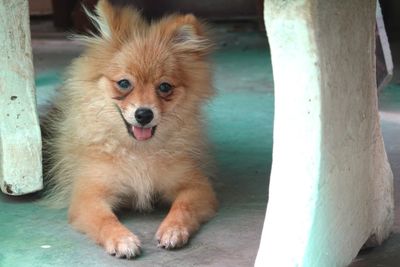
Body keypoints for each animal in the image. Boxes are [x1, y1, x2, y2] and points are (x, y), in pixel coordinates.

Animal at [42, 0, 217, 260]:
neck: (138, 151)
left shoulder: (196, 187)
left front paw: (173, 229)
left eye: (164, 87)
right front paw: (121, 238)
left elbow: (182, 207)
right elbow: (105, 219)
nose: (144, 114)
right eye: (124, 83)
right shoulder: (89, 196)